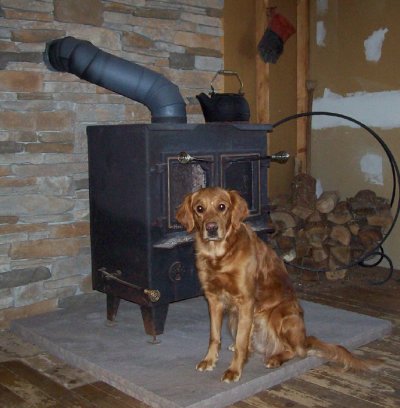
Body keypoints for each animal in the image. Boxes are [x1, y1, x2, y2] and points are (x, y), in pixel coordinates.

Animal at [177, 188, 380, 382]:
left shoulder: (246, 301)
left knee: (296, 351)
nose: (211, 228)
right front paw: (209, 360)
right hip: (234, 318)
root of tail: (304, 338)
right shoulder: (213, 299)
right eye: (199, 208)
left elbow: (243, 342)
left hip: (278, 315)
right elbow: (214, 336)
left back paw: (275, 358)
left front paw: (234, 371)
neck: (219, 256)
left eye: (222, 207)